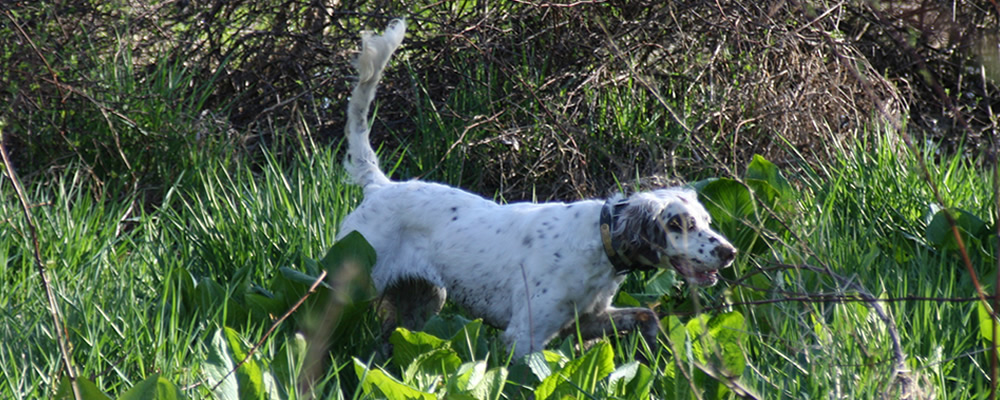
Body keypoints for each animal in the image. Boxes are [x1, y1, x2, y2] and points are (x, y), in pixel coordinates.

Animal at [336, 20, 736, 360]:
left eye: (707, 221)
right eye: (681, 224)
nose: (729, 252)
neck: (600, 240)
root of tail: (380, 186)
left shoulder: (588, 319)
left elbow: (646, 316)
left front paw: (656, 349)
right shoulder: (524, 337)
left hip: (422, 301)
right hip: (352, 285)